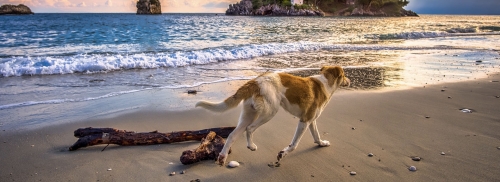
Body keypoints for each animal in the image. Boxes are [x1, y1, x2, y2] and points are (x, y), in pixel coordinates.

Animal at [193, 65, 350, 165]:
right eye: (344, 75)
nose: (349, 81)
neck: (325, 82)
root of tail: (255, 81)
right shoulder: (304, 121)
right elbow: (294, 145)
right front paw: (283, 153)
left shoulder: (311, 120)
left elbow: (316, 135)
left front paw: (322, 143)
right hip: (270, 112)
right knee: (249, 129)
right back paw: (251, 146)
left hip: (249, 114)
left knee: (232, 135)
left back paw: (222, 157)